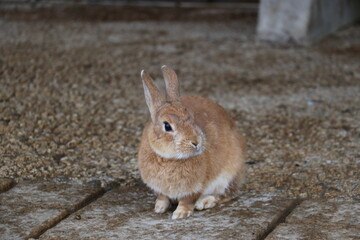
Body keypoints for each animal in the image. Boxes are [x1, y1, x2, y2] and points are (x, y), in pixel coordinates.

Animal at [137, 65, 245, 219]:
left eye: (193, 118)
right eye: (167, 126)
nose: (196, 142)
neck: (170, 158)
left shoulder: (196, 187)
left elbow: (187, 200)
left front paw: (180, 214)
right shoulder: (159, 189)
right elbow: (162, 197)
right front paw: (159, 208)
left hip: (228, 175)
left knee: (227, 194)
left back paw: (204, 202)